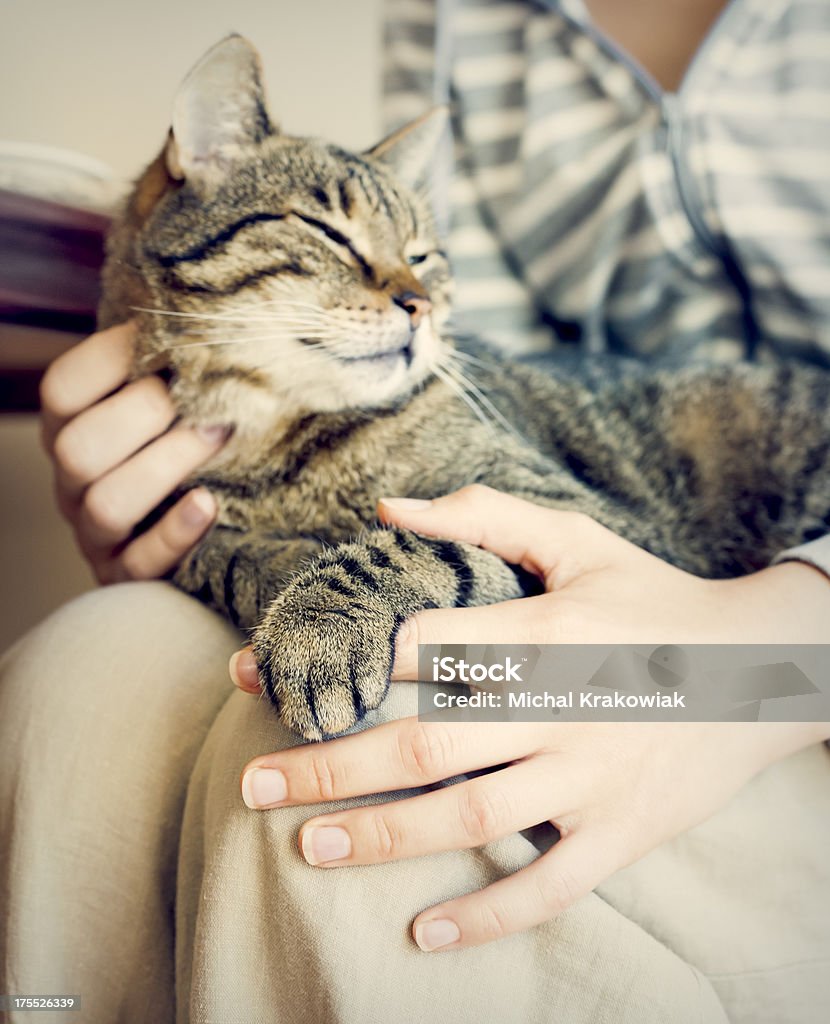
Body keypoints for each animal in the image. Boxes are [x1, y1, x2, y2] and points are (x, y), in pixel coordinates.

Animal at [100, 36, 826, 741]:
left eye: (421, 256)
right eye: (330, 232)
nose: (417, 304)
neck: (276, 443)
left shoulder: (594, 528)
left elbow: (416, 542)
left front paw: (317, 621)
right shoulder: (178, 521)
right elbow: (214, 554)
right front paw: (278, 570)